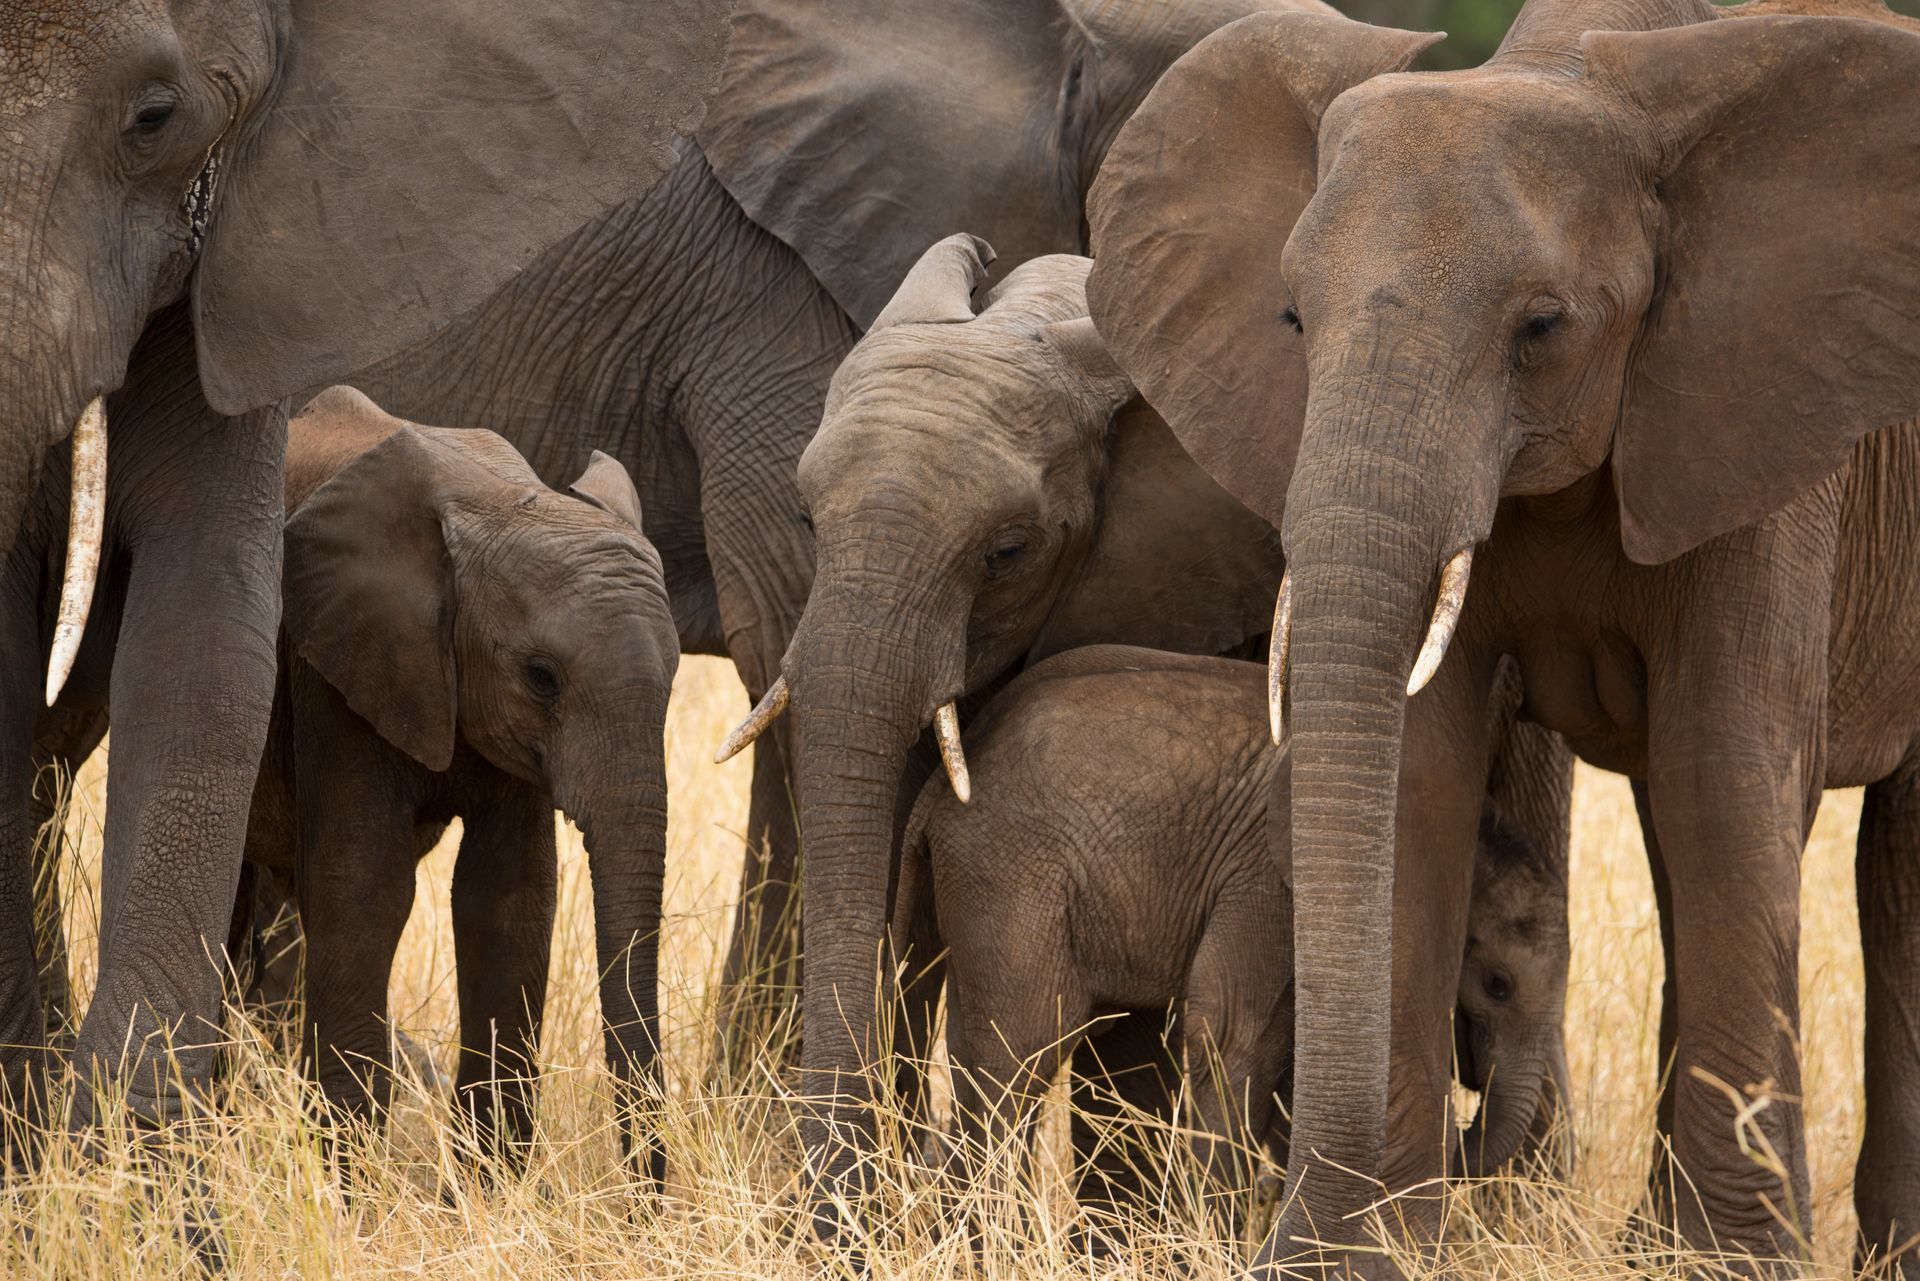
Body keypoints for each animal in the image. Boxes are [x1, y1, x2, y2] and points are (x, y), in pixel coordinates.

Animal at [0, 0, 730, 1146]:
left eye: (158, 118)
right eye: (542, 677)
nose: (652, 1172)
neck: (495, 499)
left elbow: (509, 898)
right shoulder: (347, 677)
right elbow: (364, 886)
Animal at [893, 645, 1570, 1237]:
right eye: (1498, 985)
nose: (1463, 1135)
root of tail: (941, 787)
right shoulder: (1270, 882)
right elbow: (1230, 1035)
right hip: (1012, 878)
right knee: (1019, 1052)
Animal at [1085, 0, 1920, 1271]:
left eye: (1541, 326)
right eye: (1291, 318)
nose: (1286, 1239)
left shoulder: (1764, 418)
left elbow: (1726, 770)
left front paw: (1731, 1267)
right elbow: (1422, 770)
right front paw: (1367, 1253)